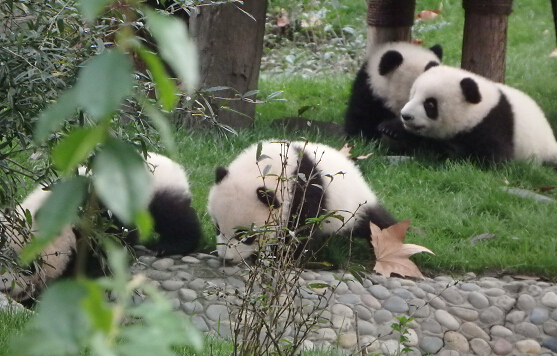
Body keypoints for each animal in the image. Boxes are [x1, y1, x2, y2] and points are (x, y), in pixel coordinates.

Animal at [206, 140, 398, 266]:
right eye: (217, 228)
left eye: (246, 237)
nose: (226, 258)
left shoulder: (306, 191)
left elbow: (300, 229)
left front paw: (283, 258)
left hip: (354, 207)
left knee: (376, 223)